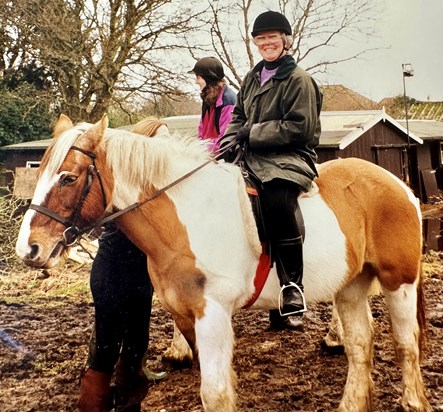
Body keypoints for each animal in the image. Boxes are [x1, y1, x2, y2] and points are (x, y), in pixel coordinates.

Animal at [16, 115, 430, 412]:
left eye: (68, 178)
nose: (28, 249)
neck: (187, 214)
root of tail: (398, 184)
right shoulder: (187, 316)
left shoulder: (212, 313)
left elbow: (213, 394)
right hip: (350, 287)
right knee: (360, 346)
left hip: (399, 281)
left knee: (406, 343)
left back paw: (413, 401)